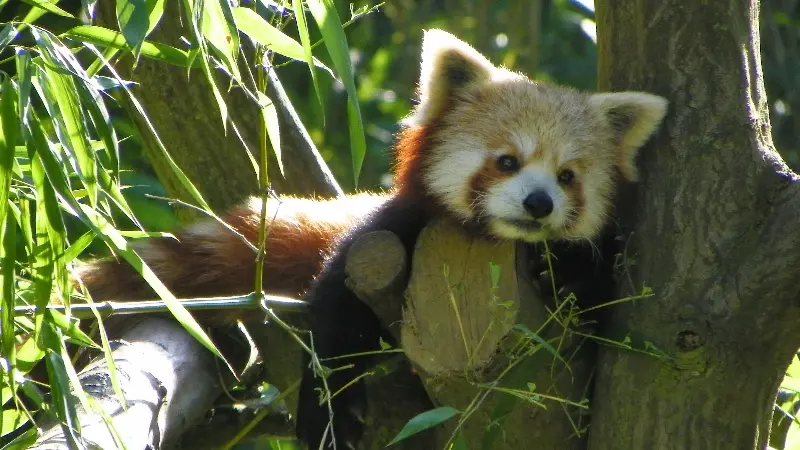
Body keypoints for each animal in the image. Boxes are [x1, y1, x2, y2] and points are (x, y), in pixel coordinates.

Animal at [75, 29, 664, 448]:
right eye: (506, 162)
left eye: (567, 176)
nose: (539, 203)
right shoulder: (382, 236)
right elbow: (335, 312)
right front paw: (329, 411)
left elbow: (597, 300)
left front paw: (563, 272)